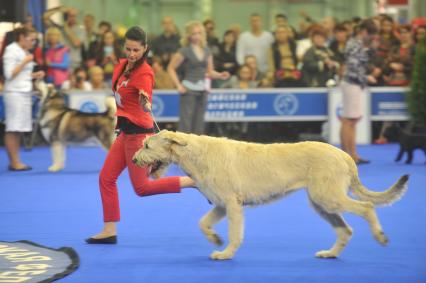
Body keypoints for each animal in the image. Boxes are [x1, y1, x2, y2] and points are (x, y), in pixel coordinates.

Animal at [131, 130, 408, 260]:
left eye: (147, 145)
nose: (133, 160)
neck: (195, 154)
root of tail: (344, 154)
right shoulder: (220, 204)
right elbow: (203, 223)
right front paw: (215, 239)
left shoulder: (232, 204)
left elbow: (235, 233)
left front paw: (226, 253)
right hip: (320, 203)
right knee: (345, 230)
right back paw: (330, 253)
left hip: (328, 197)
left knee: (366, 207)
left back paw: (380, 236)